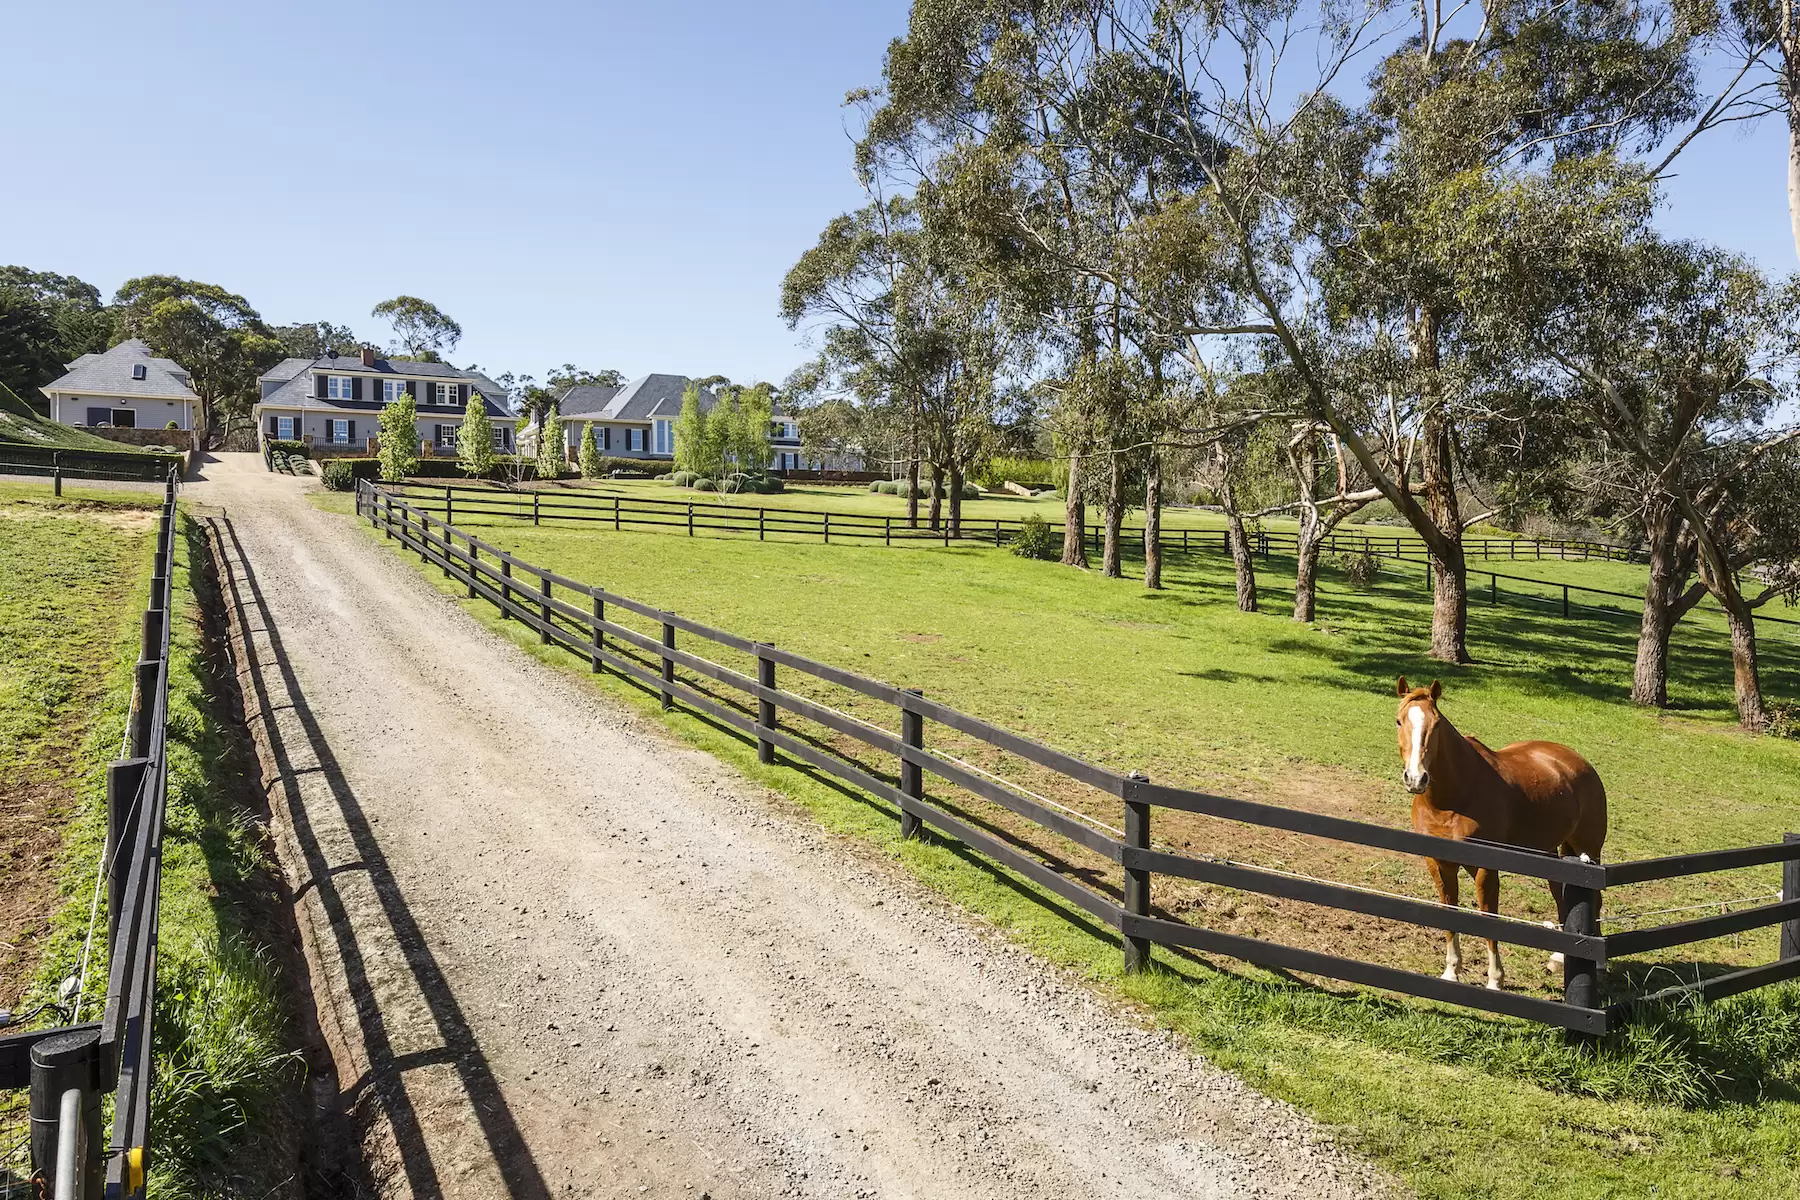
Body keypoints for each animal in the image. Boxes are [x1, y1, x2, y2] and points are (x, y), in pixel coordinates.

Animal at [1396, 680, 1612, 993]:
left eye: (1435, 725)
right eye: (1399, 721)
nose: (1416, 778)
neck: (1454, 796)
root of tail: (1578, 763)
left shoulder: (1486, 868)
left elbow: (1489, 916)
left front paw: (1495, 979)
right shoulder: (1437, 862)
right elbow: (1449, 910)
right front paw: (1451, 971)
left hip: (1589, 851)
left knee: (1594, 899)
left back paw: (1599, 966)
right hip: (1553, 854)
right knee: (1563, 899)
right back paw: (1558, 959)